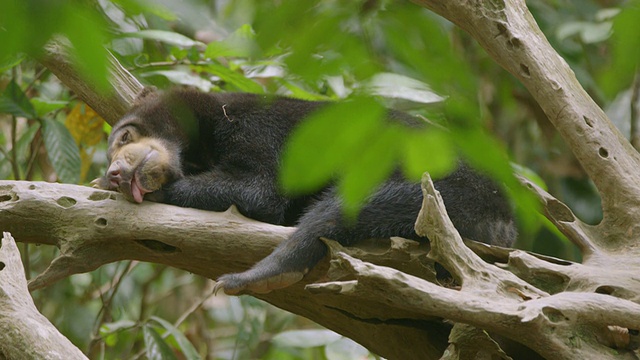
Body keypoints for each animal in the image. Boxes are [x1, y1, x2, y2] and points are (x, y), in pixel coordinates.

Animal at [92, 88, 516, 296]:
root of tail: (506, 220)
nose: (115, 173)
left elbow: (258, 191)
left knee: (339, 212)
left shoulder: (257, 130)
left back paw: (257, 276)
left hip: (444, 189)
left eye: (125, 136)